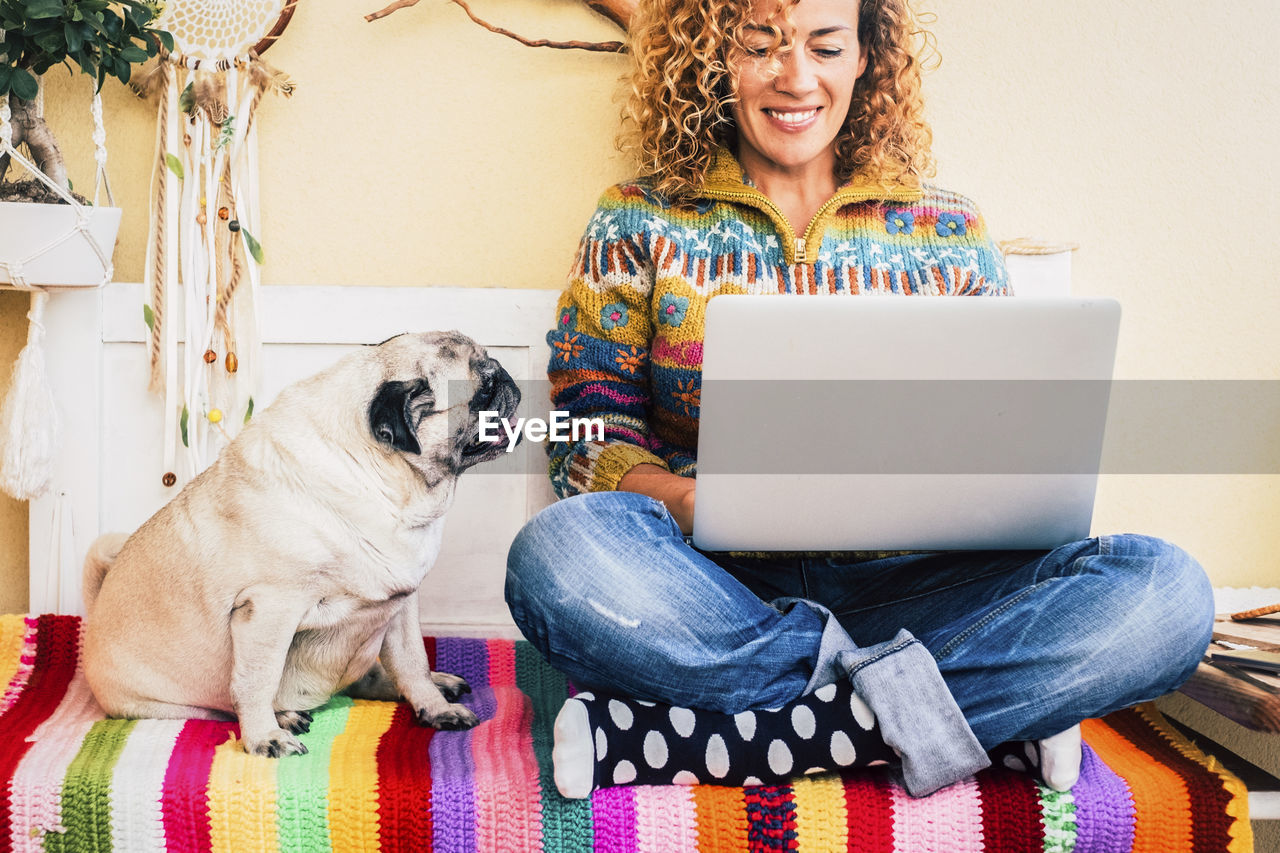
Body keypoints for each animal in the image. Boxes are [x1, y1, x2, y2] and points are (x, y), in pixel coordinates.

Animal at [83, 327, 519, 753]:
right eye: (484, 387)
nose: (507, 377)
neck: (388, 486)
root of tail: (95, 607)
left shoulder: (401, 605)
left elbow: (413, 664)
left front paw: (434, 707)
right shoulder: (270, 608)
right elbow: (256, 680)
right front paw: (264, 736)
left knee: (375, 676)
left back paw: (439, 685)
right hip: (168, 704)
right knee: (228, 704)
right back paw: (282, 716)